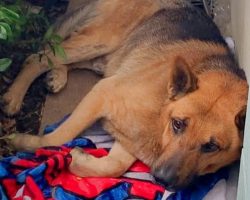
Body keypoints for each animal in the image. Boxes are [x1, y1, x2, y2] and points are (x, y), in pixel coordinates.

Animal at [1, 0, 248, 191]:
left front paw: (77, 160)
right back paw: (13, 97)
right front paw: (25, 142)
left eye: (211, 147)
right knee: (40, 56)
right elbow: (59, 137)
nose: (161, 179)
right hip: (100, 41)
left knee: (61, 58)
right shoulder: (102, 93)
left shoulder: (130, 142)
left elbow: (113, 166)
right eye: (178, 124)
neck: (161, 114)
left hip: (108, 55)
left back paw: (57, 76)